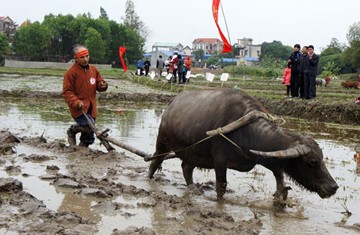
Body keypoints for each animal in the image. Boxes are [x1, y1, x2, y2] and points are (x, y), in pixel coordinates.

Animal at [148, 88, 338, 202]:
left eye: (322, 158)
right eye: (313, 161)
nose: (333, 187)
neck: (247, 131)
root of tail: (171, 104)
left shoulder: (267, 158)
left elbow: (280, 178)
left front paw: (280, 198)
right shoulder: (220, 160)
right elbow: (221, 185)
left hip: (192, 151)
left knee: (186, 168)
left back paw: (193, 188)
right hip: (162, 142)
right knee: (155, 161)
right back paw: (149, 180)